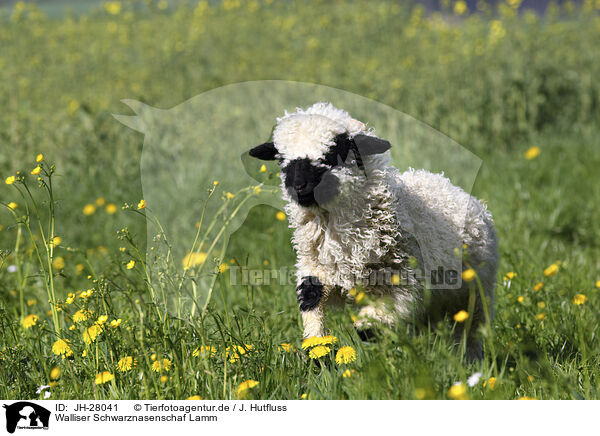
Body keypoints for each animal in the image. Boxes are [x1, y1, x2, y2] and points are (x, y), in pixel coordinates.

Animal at [247, 102, 496, 362]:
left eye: (333, 153)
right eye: (282, 159)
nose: (299, 187)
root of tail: (449, 184)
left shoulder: (402, 283)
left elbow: (370, 327)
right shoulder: (317, 268)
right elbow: (311, 300)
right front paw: (318, 346)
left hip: (477, 292)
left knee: (470, 331)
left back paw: (468, 361)